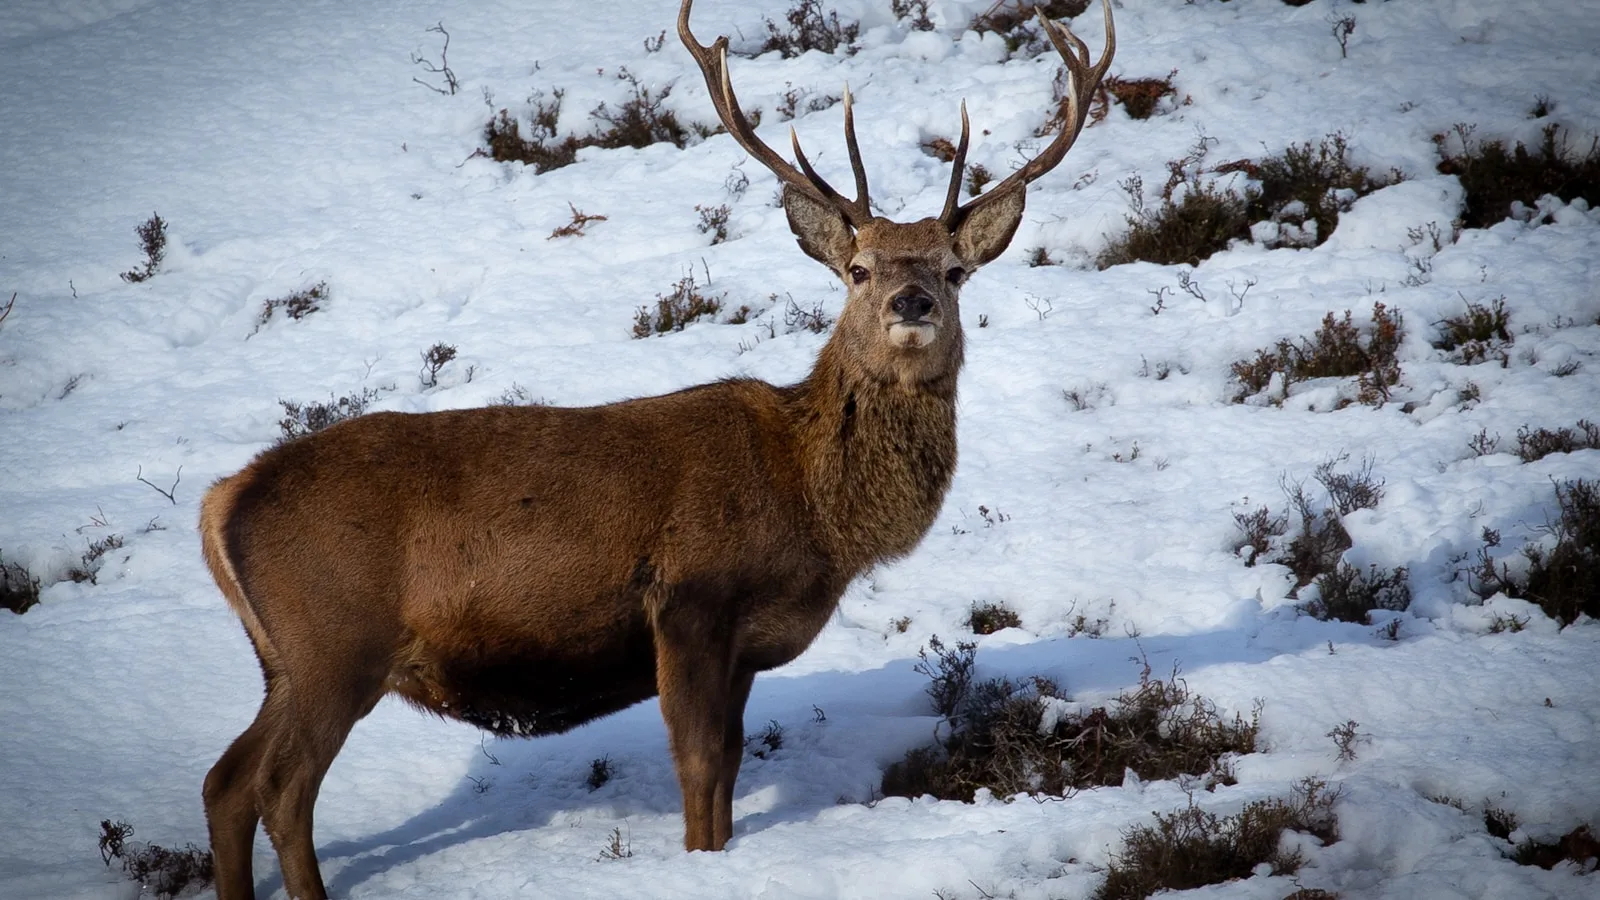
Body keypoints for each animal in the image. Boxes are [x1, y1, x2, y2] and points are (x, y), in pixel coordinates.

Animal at [197, 2, 1113, 897]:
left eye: (956, 270)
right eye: (858, 269)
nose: (911, 301)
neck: (811, 508)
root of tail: (222, 501)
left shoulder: (744, 646)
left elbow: (732, 767)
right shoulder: (688, 601)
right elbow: (700, 769)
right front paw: (701, 864)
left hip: (287, 660)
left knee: (226, 781)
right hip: (333, 641)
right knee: (279, 788)